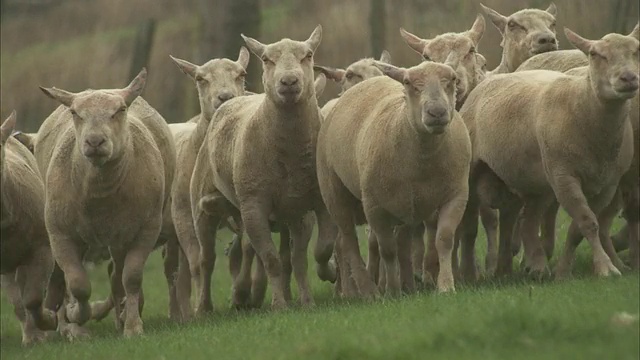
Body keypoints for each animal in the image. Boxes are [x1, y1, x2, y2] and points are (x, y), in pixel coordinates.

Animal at [36, 68, 176, 338]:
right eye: (75, 113)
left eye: (120, 110)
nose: (94, 142)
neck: (100, 196)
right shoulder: (60, 234)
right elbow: (78, 284)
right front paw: (75, 315)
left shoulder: (145, 229)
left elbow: (131, 277)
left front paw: (133, 327)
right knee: (67, 279)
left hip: (121, 235)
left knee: (118, 276)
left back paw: (121, 316)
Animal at [189, 24, 336, 310]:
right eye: (266, 59)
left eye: (308, 55)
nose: (289, 82)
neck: (289, 152)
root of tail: (233, 99)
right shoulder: (254, 204)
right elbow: (271, 258)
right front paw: (279, 305)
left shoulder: (309, 207)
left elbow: (315, 252)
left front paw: (315, 291)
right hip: (206, 207)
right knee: (206, 260)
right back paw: (205, 307)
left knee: (248, 251)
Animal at [318, 57, 472, 296]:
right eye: (408, 82)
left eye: (453, 79)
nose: (437, 112)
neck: (423, 158)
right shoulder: (374, 206)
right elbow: (387, 249)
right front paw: (391, 291)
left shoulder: (456, 195)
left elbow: (444, 239)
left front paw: (446, 286)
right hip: (333, 191)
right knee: (348, 242)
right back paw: (365, 290)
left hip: (406, 205)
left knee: (403, 243)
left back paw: (407, 284)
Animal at [460, 25, 640, 278]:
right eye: (595, 54)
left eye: (636, 51)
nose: (629, 78)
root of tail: (489, 80)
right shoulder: (563, 177)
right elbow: (588, 222)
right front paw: (605, 267)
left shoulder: (609, 184)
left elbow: (578, 229)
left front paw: (564, 271)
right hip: (472, 172)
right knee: (468, 225)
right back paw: (469, 273)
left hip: (532, 181)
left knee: (526, 221)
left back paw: (523, 269)